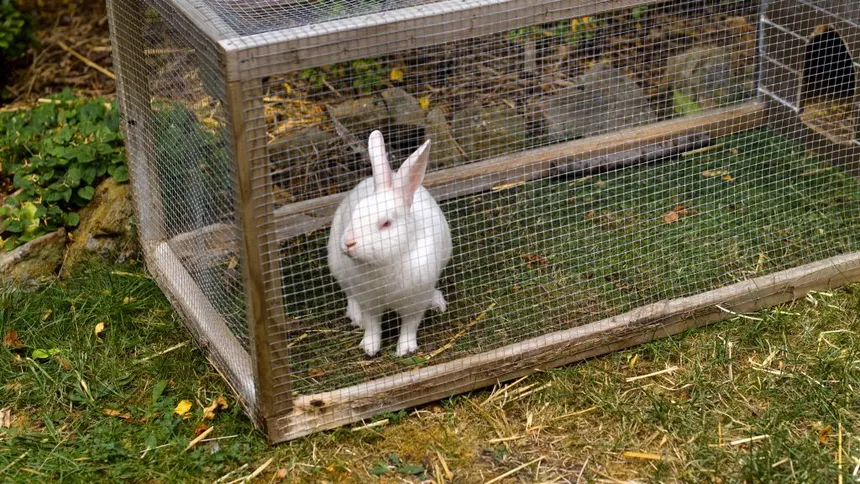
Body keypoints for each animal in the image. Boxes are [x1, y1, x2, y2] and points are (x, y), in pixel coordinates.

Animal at [327, 130, 452, 357]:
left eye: (386, 223)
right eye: (356, 212)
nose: (349, 242)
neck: (384, 264)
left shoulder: (414, 301)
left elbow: (409, 326)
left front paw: (405, 349)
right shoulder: (369, 302)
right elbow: (372, 325)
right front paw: (369, 348)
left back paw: (437, 301)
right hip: (337, 265)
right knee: (349, 293)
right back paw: (355, 316)